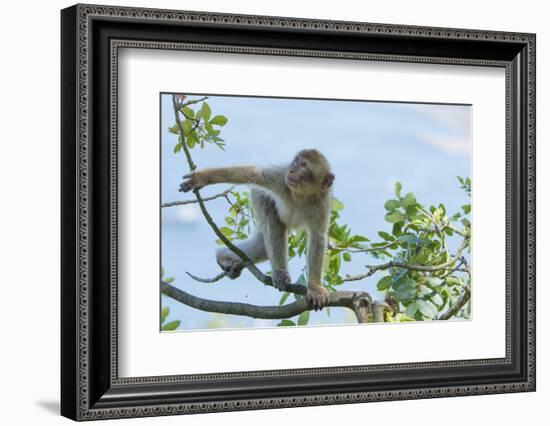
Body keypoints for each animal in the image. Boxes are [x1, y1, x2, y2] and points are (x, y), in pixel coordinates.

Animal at [181, 150, 336, 310]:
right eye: (295, 162)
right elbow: (254, 174)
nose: (291, 170)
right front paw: (201, 178)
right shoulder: (281, 180)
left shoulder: (322, 203)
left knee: (262, 248)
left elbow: (318, 237)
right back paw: (279, 272)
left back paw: (224, 256)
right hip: (258, 196)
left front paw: (315, 288)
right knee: (272, 216)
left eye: (303, 165)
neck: (302, 195)